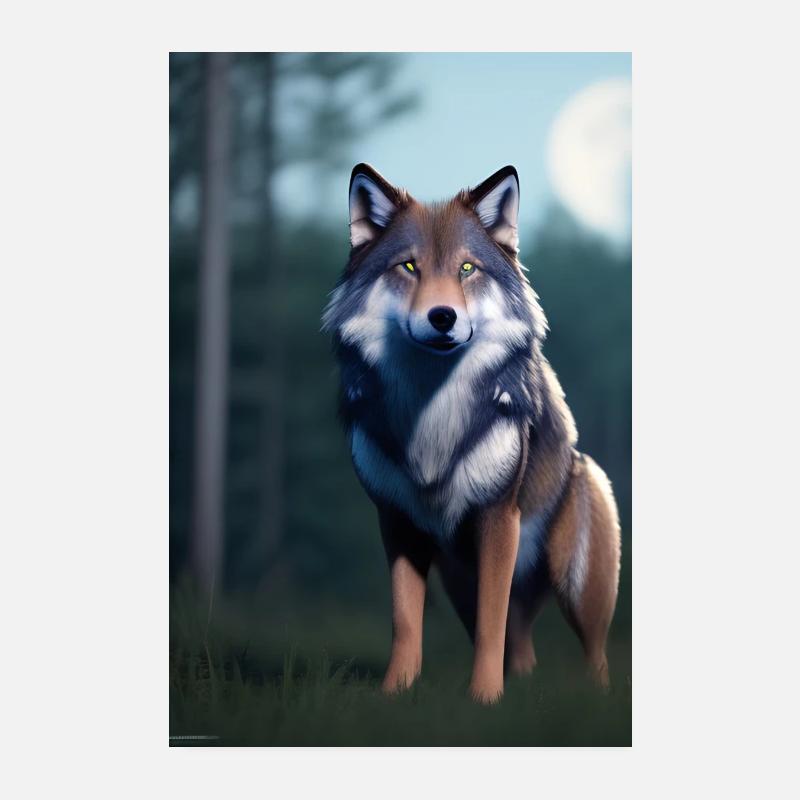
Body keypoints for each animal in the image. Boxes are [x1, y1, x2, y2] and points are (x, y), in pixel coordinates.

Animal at [322, 164, 621, 703]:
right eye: (409, 267)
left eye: (466, 269)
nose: (443, 317)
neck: (431, 414)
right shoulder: (396, 522)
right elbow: (406, 622)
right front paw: (394, 695)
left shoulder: (498, 519)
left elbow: (491, 625)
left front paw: (483, 700)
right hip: (457, 577)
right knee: (522, 649)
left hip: (576, 583)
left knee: (594, 654)